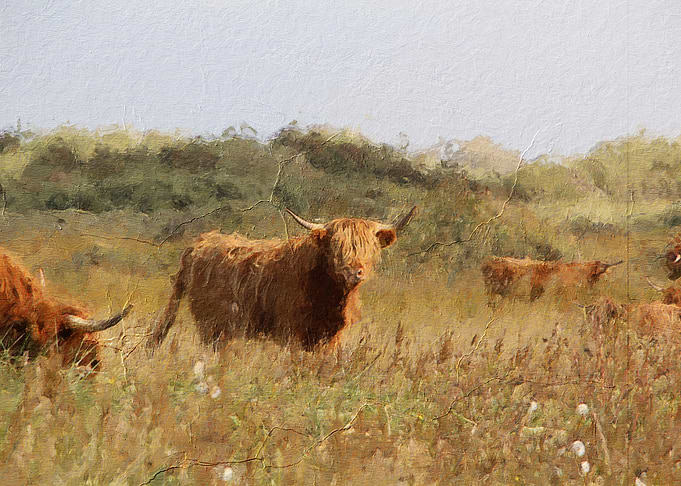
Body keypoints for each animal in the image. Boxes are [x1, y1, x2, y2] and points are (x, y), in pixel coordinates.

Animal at [148, 206, 417, 351]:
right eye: (336, 248)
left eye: (368, 249)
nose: (354, 272)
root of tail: (198, 244)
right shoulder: (291, 332)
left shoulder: (331, 337)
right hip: (213, 325)